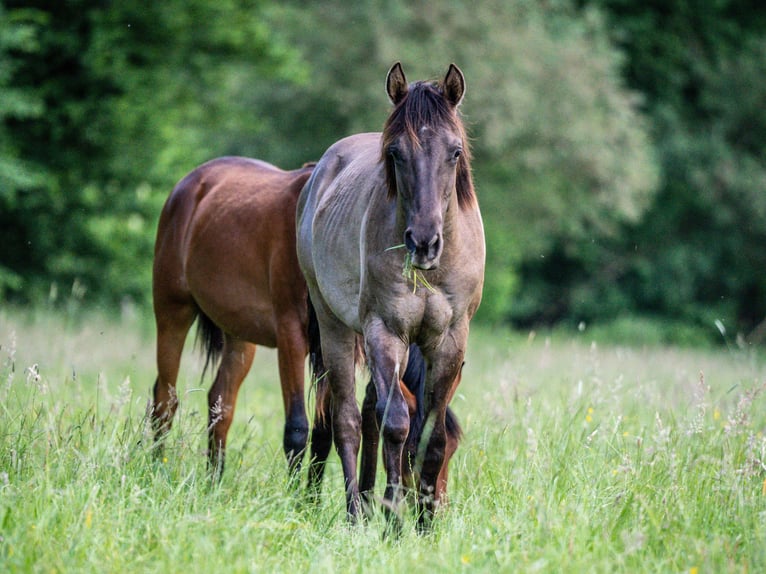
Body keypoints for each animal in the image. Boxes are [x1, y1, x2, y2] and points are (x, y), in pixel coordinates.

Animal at [300, 62, 486, 528]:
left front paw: (424, 525)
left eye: (455, 152)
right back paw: (355, 512)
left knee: (369, 409)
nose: (424, 242)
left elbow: (431, 433)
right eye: (396, 153)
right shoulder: (386, 333)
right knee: (348, 418)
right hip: (334, 328)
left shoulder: (450, 339)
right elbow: (397, 425)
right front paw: (395, 519)